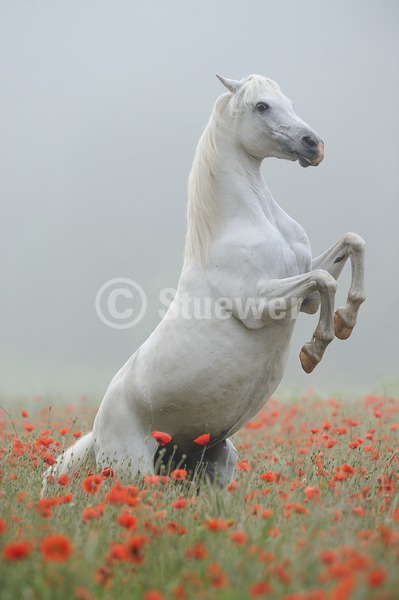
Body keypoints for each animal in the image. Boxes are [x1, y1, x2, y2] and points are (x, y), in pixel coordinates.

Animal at [42, 74, 368, 492]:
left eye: (289, 103)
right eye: (261, 106)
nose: (315, 145)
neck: (250, 220)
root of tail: (97, 431)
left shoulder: (304, 296)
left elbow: (351, 244)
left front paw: (346, 319)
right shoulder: (260, 304)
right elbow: (324, 279)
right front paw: (314, 350)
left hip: (217, 465)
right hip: (134, 472)